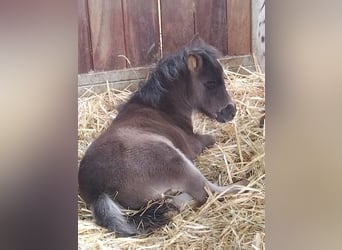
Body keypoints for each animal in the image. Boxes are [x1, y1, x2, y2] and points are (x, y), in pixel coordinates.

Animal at [78, 36, 247, 235]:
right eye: (210, 84)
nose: (231, 111)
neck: (161, 110)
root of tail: (97, 192)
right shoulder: (193, 144)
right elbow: (213, 137)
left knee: (176, 200)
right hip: (176, 160)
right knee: (206, 192)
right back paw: (243, 185)